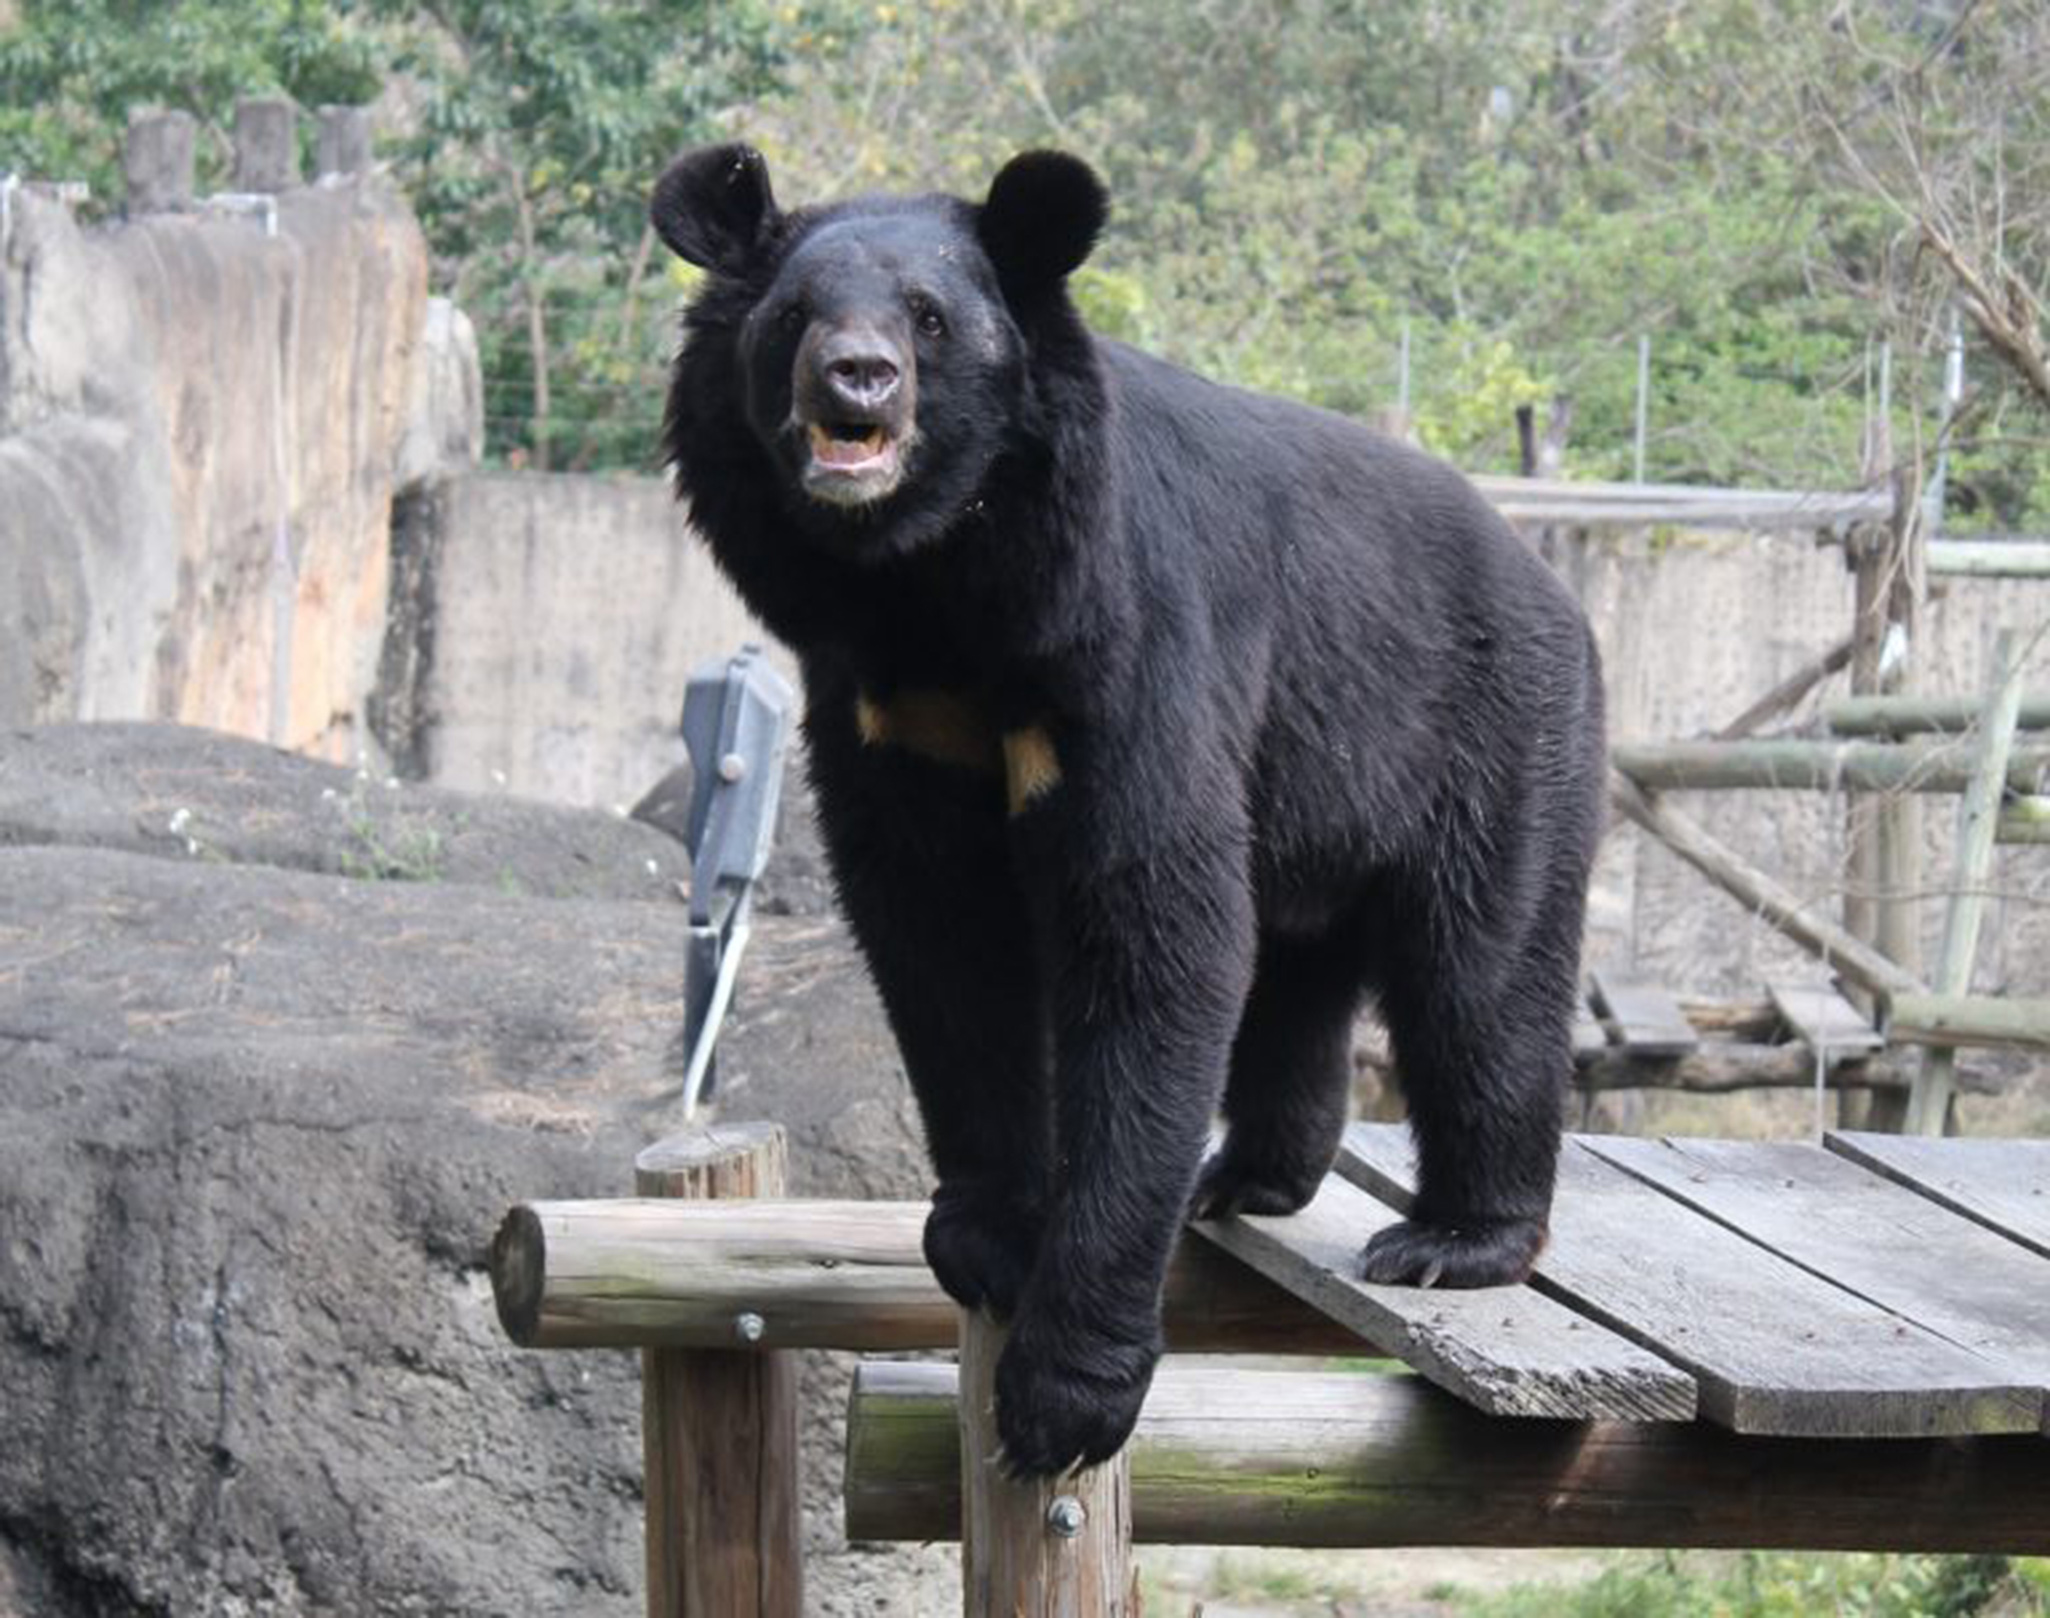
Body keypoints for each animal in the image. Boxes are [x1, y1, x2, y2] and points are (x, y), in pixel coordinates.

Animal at [647, 145, 1607, 1468]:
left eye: (929, 319)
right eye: (793, 315)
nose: (856, 378)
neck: (928, 585)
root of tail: (1553, 586)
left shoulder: (1128, 642)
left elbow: (1152, 927)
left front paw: (1066, 1395)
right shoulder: (879, 709)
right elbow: (939, 937)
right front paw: (986, 1236)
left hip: (1490, 737)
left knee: (1482, 975)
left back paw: (1453, 1239)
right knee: (1296, 969)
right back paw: (1247, 1176)